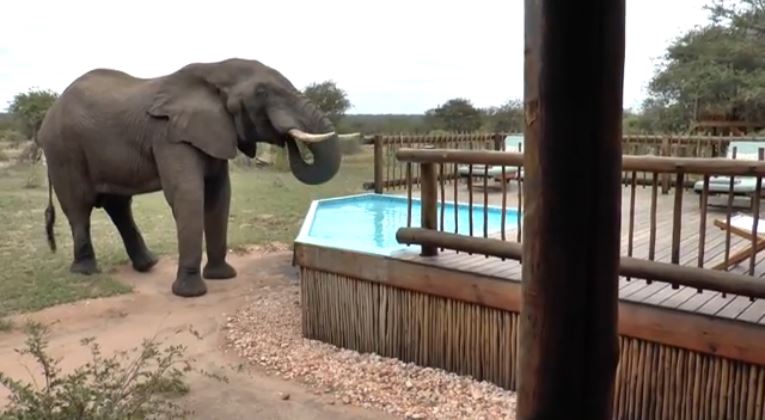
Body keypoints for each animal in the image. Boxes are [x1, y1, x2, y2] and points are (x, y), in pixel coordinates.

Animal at [38, 58, 357, 298]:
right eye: (262, 92)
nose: (287, 138)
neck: (212, 71)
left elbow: (219, 195)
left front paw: (222, 276)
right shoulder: (170, 135)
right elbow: (187, 193)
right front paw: (190, 293)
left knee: (118, 206)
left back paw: (148, 264)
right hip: (63, 149)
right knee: (79, 206)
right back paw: (86, 271)